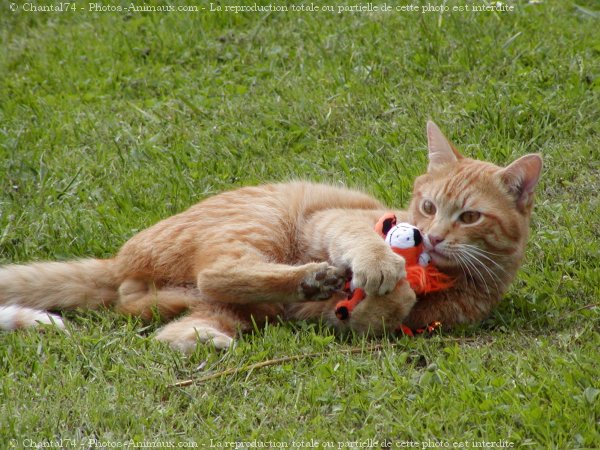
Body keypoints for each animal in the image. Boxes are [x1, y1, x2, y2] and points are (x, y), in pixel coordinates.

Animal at [0, 122, 540, 352]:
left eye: (469, 217)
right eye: (428, 207)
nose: (429, 236)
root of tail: (117, 264)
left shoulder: (341, 321)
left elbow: (380, 313)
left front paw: (386, 294)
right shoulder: (332, 220)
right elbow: (371, 255)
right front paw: (383, 268)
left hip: (223, 310)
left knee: (171, 327)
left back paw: (212, 338)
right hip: (263, 221)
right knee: (217, 273)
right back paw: (312, 276)